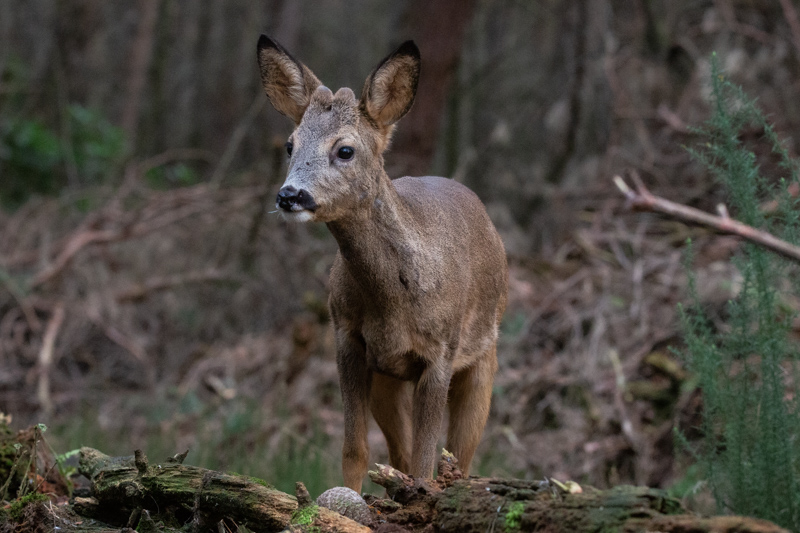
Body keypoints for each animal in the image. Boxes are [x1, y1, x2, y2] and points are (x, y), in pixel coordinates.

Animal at [258, 34, 506, 490]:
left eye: (345, 150)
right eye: (289, 144)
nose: (290, 195)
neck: (393, 303)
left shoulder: (441, 353)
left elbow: (427, 464)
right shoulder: (348, 339)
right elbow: (356, 451)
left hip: (484, 354)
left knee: (460, 459)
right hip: (388, 379)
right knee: (399, 455)